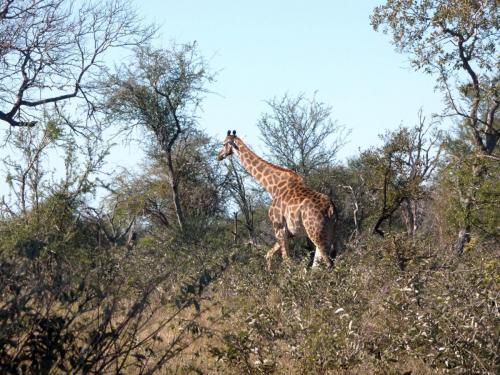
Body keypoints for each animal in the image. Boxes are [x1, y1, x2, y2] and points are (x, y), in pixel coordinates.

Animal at [218, 131, 338, 268]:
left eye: (223, 144)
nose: (218, 156)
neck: (273, 187)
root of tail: (330, 208)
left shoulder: (278, 227)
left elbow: (286, 260)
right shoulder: (288, 233)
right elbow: (268, 255)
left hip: (315, 232)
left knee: (328, 262)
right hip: (330, 232)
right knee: (318, 264)